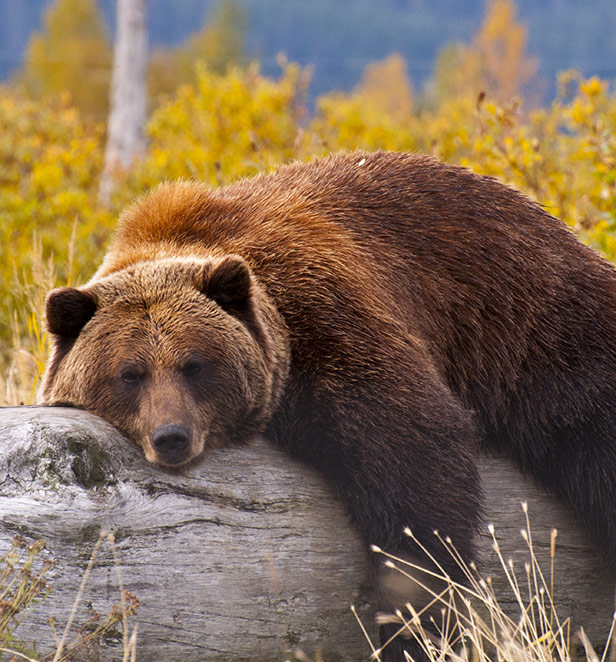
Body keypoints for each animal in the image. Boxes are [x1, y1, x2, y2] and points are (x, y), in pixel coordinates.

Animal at [41, 151, 616, 661]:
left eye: (194, 364)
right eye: (129, 373)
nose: (172, 436)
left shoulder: (327, 316)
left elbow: (414, 456)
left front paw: (413, 618)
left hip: (537, 327)